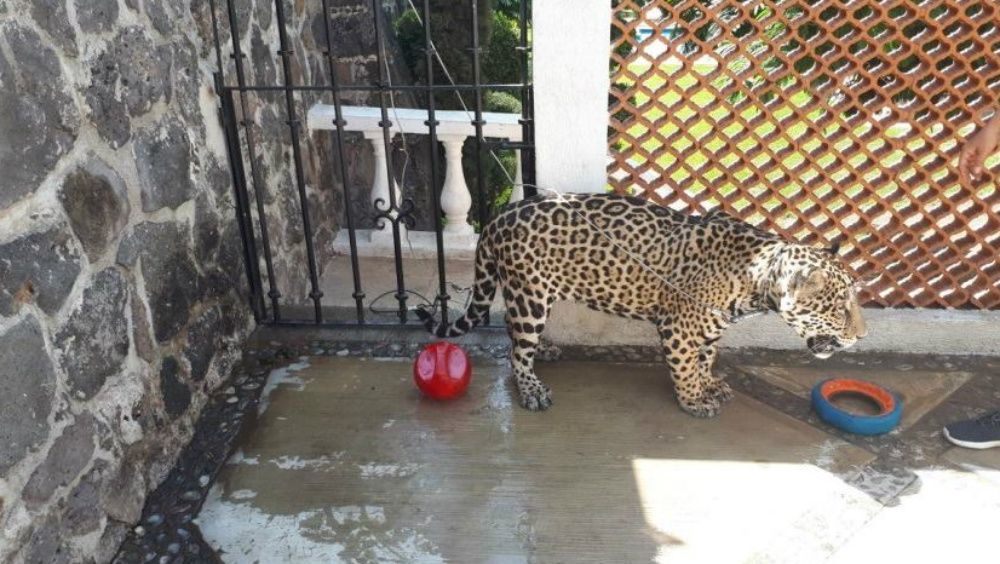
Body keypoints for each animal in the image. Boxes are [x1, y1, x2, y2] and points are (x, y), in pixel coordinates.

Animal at [415, 193, 868, 417]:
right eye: (840, 308)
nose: (863, 336)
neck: (757, 277)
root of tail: (498, 215)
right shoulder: (680, 329)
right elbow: (685, 368)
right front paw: (693, 401)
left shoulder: (711, 329)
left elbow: (706, 359)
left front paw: (709, 383)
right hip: (530, 297)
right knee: (516, 353)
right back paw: (531, 387)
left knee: (514, 332)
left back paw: (546, 350)